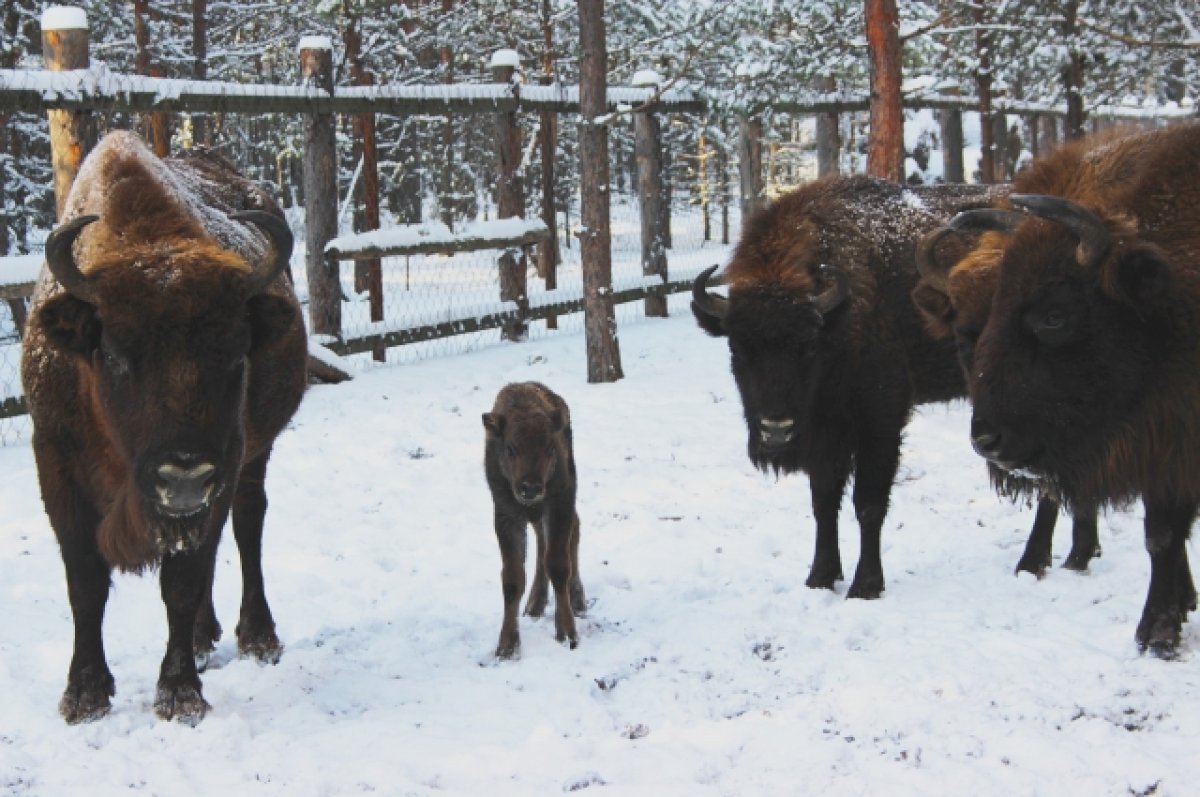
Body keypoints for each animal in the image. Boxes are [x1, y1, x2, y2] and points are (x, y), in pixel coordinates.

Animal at [21, 130, 307, 720]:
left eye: (236, 354)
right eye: (114, 354)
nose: (183, 476)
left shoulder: (226, 460)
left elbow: (181, 579)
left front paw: (179, 694)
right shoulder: (55, 463)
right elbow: (84, 581)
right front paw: (84, 694)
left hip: (251, 458)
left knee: (246, 524)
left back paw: (256, 636)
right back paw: (203, 636)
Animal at [482, 384, 585, 657]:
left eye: (549, 448)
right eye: (510, 449)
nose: (531, 488)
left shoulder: (559, 505)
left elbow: (558, 565)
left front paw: (568, 633)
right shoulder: (506, 516)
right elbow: (512, 578)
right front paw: (506, 646)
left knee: (572, 534)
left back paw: (578, 599)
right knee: (542, 543)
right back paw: (535, 604)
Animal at [691, 174, 998, 597]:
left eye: (807, 345)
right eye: (737, 347)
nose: (775, 430)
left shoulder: (880, 423)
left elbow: (867, 503)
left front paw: (865, 585)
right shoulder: (824, 435)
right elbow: (824, 502)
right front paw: (820, 577)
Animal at [950, 120, 1200, 652]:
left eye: (1053, 316)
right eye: (994, 309)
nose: (987, 440)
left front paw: (1158, 631)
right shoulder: (1166, 446)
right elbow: (1163, 533)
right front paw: (1163, 623)